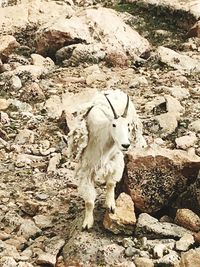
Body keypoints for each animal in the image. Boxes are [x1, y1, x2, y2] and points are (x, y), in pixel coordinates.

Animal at [67, 90, 145, 230]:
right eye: (114, 124)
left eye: (128, 124)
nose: (125, 145)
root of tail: (116, 91)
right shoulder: (87, 168)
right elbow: (89, 201)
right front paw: (87, 223)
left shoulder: (115, 160)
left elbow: (110, 184)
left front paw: (111, 206)